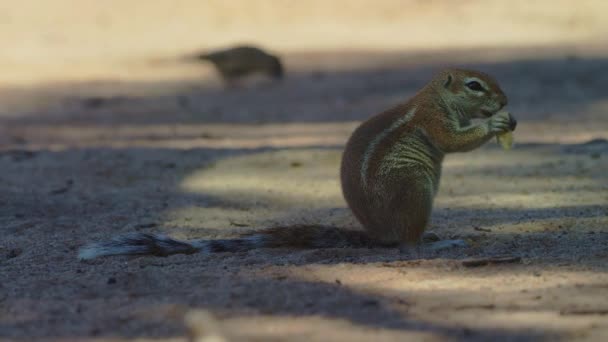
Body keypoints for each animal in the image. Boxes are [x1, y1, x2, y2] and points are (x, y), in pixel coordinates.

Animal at [79, 67, 516, 260]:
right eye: (475, 85)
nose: (505, 101)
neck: (435, 96)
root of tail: (378, 233)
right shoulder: (433, 119)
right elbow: (453, 142)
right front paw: (493, 124)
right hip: (414, 189)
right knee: (407, 244)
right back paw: (440, 241)